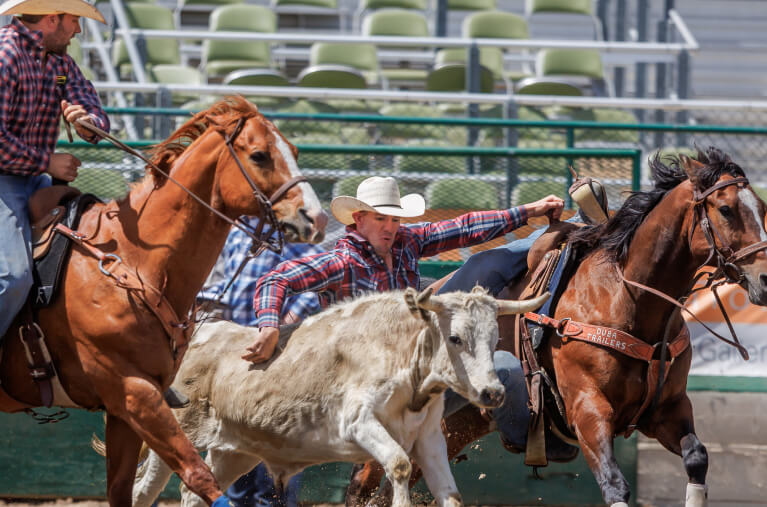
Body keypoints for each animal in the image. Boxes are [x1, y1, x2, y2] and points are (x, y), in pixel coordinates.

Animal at [0, 97, 328, 506]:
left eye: (295, 151)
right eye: (259, 155)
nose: (316, 218)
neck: (134, 264)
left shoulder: (126, 409)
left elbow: (122, 489)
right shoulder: (131, 389)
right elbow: (198, 474)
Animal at [352, 145, 767, 506]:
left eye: (761, 208)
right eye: (726, 209)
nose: (764, 278)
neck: (626, 296)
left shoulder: (667, 409)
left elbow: (696, 456)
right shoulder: (587, 410)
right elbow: (614, 483)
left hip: (456, 426)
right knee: (367, 479)